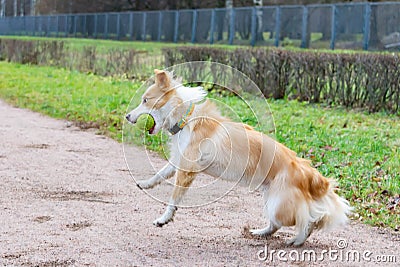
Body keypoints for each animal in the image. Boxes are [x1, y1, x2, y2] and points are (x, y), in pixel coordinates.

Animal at [125, 69, 350, 247]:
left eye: (145, 100)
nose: (127, 116)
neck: (186, 118)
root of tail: (309, 172)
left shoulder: (187, 169)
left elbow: (173, 198)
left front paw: (164, 219)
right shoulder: (179, 161)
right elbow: (160, 174)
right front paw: (145, 184)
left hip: (279, 204)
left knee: (309, 220)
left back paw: (296, 240)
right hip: (271, 198)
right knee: (279, 223)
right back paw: (260, 233)